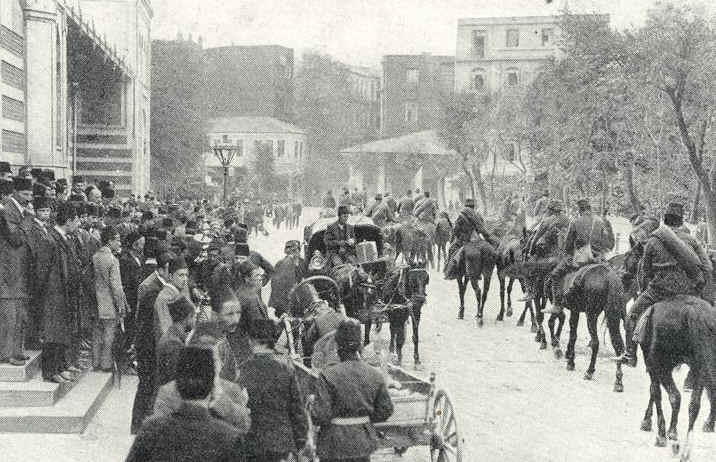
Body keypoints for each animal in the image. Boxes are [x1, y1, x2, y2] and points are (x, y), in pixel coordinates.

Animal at [636, 296, 716, 458]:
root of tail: (692, 312)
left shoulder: (653, 364)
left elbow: (655, 392)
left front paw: (651, 425)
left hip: (663, 366)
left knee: (675, 396)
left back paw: (667, 435)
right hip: (700, 366)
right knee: (695, 404)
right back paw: (688, 447)